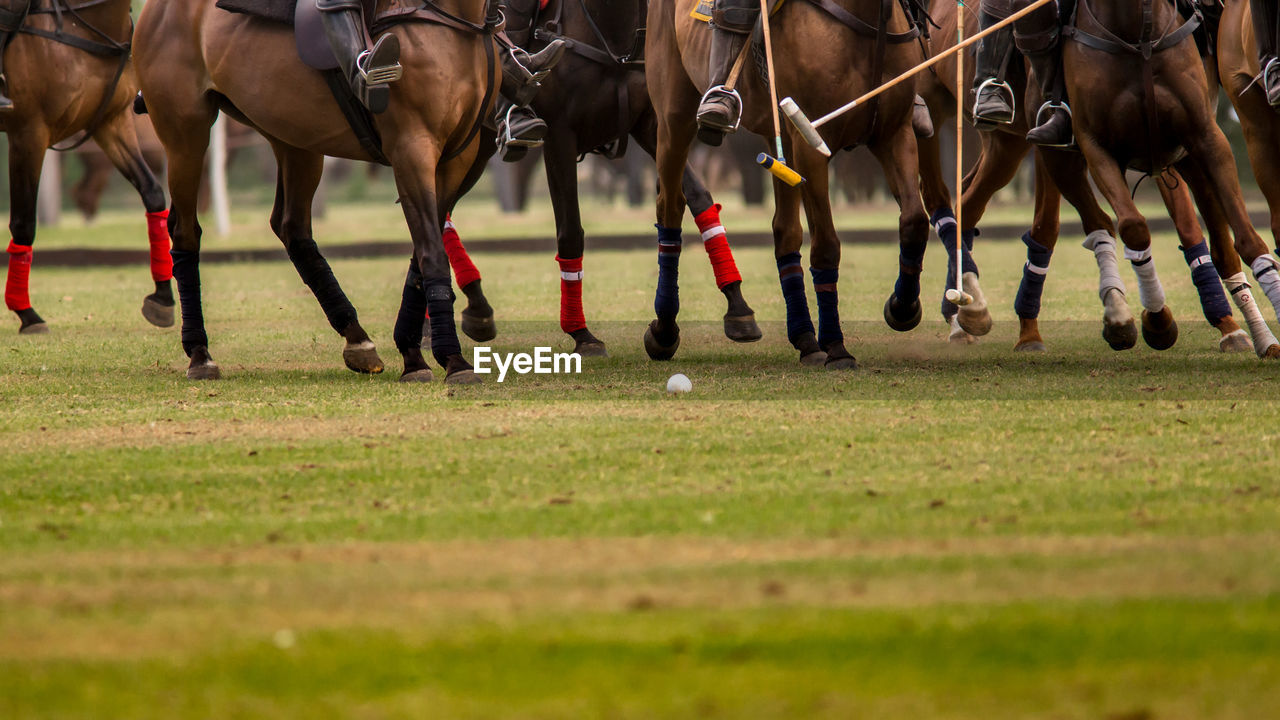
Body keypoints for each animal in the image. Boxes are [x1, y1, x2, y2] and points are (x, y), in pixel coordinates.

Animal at [1, 0, 174, 333]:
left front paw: (162, 297)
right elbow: (24, 223)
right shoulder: (28, 133)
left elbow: (153, 193)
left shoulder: (111, 122)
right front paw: (27, 314)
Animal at [131, 0, 499, 381]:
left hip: (293, 135)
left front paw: (413, 353)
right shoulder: (412, 148)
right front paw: (452, 358)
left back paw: (358, 340)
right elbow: (430, 251)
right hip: (184, 132)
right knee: (185, 231)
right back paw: (200, 354)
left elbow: (423, 249)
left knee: (291, 226)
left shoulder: (459, 157)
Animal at [650, 0, 931, 363]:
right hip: (674, 116)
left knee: (785, 229)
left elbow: (915, 221)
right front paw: (837, 348)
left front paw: (902, 308)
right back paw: (663, 330)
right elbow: (826, 245)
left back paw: (805, 339)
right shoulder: (810, 143)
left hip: (776, 135)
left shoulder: (895, 132)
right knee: (670, 206)